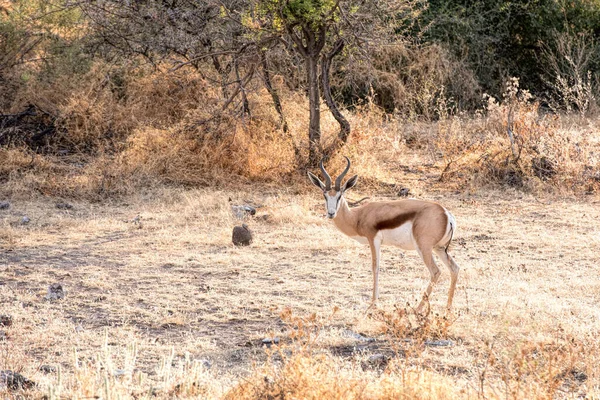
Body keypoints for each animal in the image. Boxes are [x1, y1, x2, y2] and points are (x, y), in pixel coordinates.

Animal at [308, 157, 462, 312]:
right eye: (325, 195)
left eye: (339, 196)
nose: (331, 213)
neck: (358, 216)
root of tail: (446, 214)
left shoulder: (373, 239)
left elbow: (375, 267)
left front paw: (373, 303)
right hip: (439, 249)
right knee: (454, 268)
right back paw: (448, 308)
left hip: (424, 248)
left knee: (436, 272)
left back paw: (417, 309)